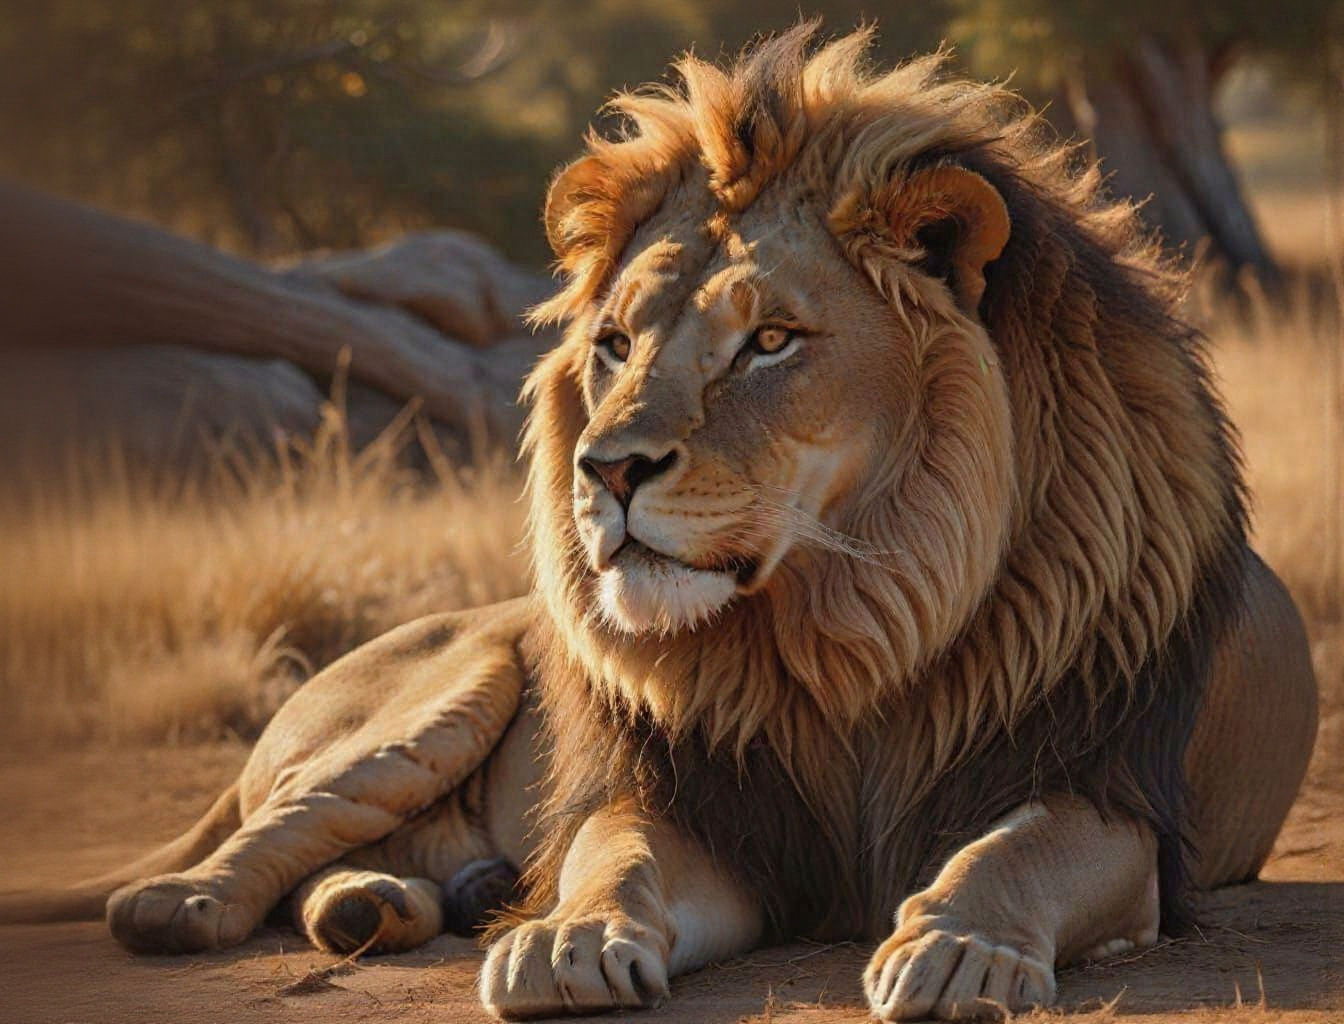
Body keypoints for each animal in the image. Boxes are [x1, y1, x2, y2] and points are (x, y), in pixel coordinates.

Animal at [2, 24, 1318, 1022]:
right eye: (616, 343)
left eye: (770, 340)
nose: (606, 467)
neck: (849, 626)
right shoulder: (712, 806)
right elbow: (614, 852)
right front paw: (565, 939)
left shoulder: (1112, 792)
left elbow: (1014, 849)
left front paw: (960, 948)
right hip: (445, 689)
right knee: (247, 847)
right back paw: (202, 903)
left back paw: (403, 901)